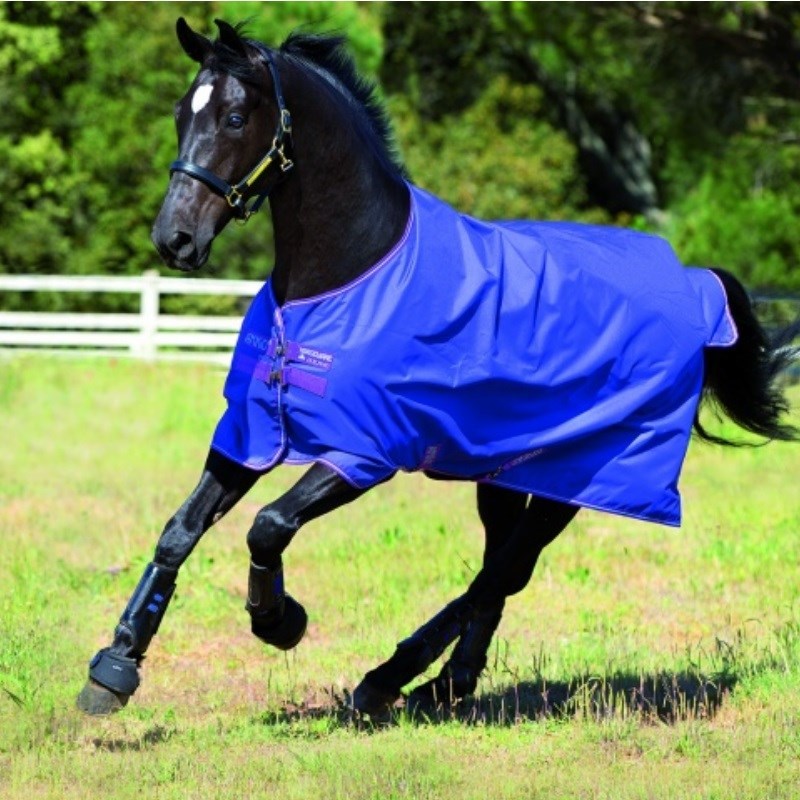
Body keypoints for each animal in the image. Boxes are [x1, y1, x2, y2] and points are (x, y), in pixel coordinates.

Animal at [77, 18, 798, 718]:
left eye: (232, 118)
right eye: (180, 111)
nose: (174, 239)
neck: (345, 277)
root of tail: (695, 286)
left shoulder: (365, 451)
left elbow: (268, 527)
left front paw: (279, 620)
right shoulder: (250, 432)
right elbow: (179, 532)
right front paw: (115, 668)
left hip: (580, 475)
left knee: (506, 569)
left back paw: (391, 677)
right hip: (505, 471)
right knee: (500, 566)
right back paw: (447, 682)